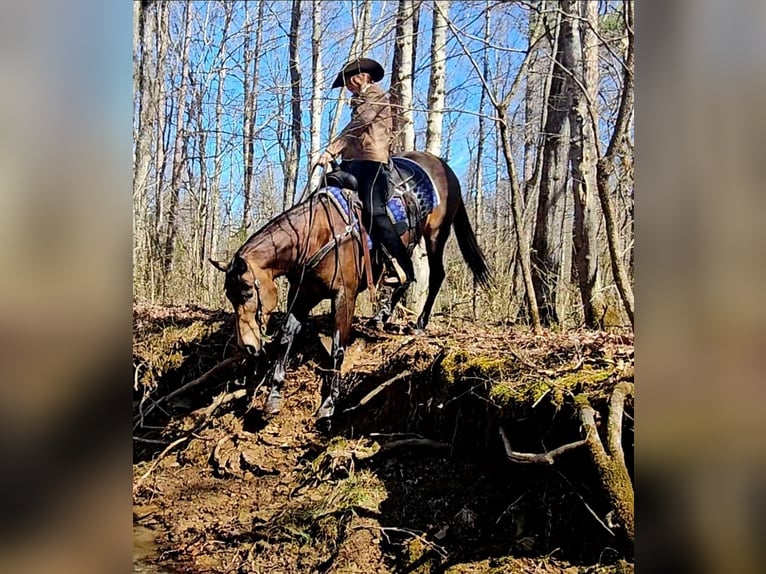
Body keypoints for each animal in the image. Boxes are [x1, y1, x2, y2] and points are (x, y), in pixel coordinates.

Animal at [212, 151, 491, 426]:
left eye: (248, 292)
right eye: (230, 296)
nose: (248, 346)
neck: (317, 235)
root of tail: (442, 166)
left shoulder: (343, 296)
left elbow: (338, 347)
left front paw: (329, 404)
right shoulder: (303, 294)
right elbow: (286, 336)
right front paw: (274, 395)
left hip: (435, 235)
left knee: (435, 275)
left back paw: (419, 323)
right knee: (404, 274)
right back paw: (380, 317)